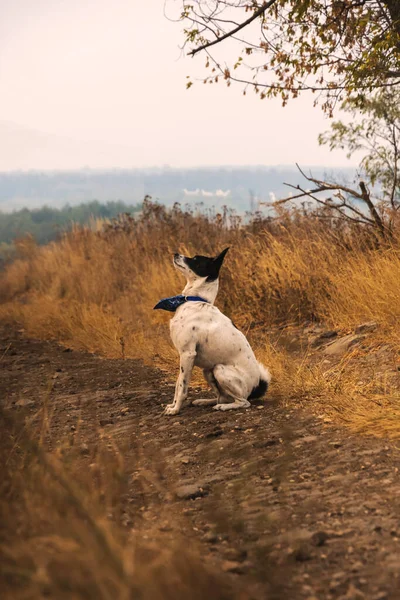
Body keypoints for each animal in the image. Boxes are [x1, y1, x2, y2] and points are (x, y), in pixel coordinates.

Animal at [154, 247, 272, 412]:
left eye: (195, 260)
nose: (175, 253)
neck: (195, 300)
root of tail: (255, 388)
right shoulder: (183, 356)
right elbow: (178, 384)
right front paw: (173, 405)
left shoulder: (187, 354)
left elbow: (182, 386)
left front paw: (176, 409)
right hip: (208, 371)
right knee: (222, 396)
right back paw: (205, 401)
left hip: (220, 370)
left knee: (243, 402)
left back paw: (223, 407)